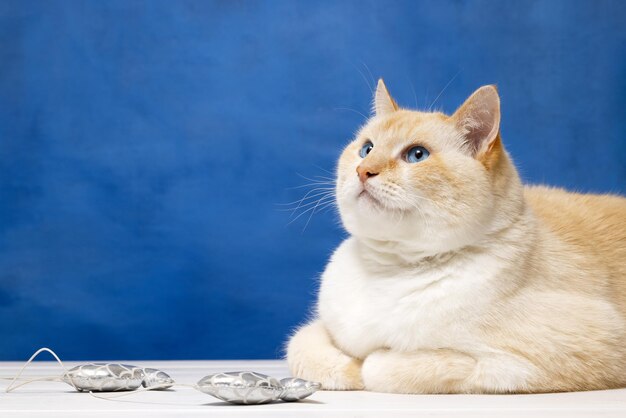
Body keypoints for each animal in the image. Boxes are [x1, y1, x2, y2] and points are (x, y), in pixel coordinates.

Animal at [286, 80, 624, 394]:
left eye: (416, 155)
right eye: (366, 149)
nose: (363, 171)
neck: (387, 269)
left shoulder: (556, 353)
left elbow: (380, 367)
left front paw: (365, 365)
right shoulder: (319, 329)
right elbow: (302, 348)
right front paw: (345, 368)